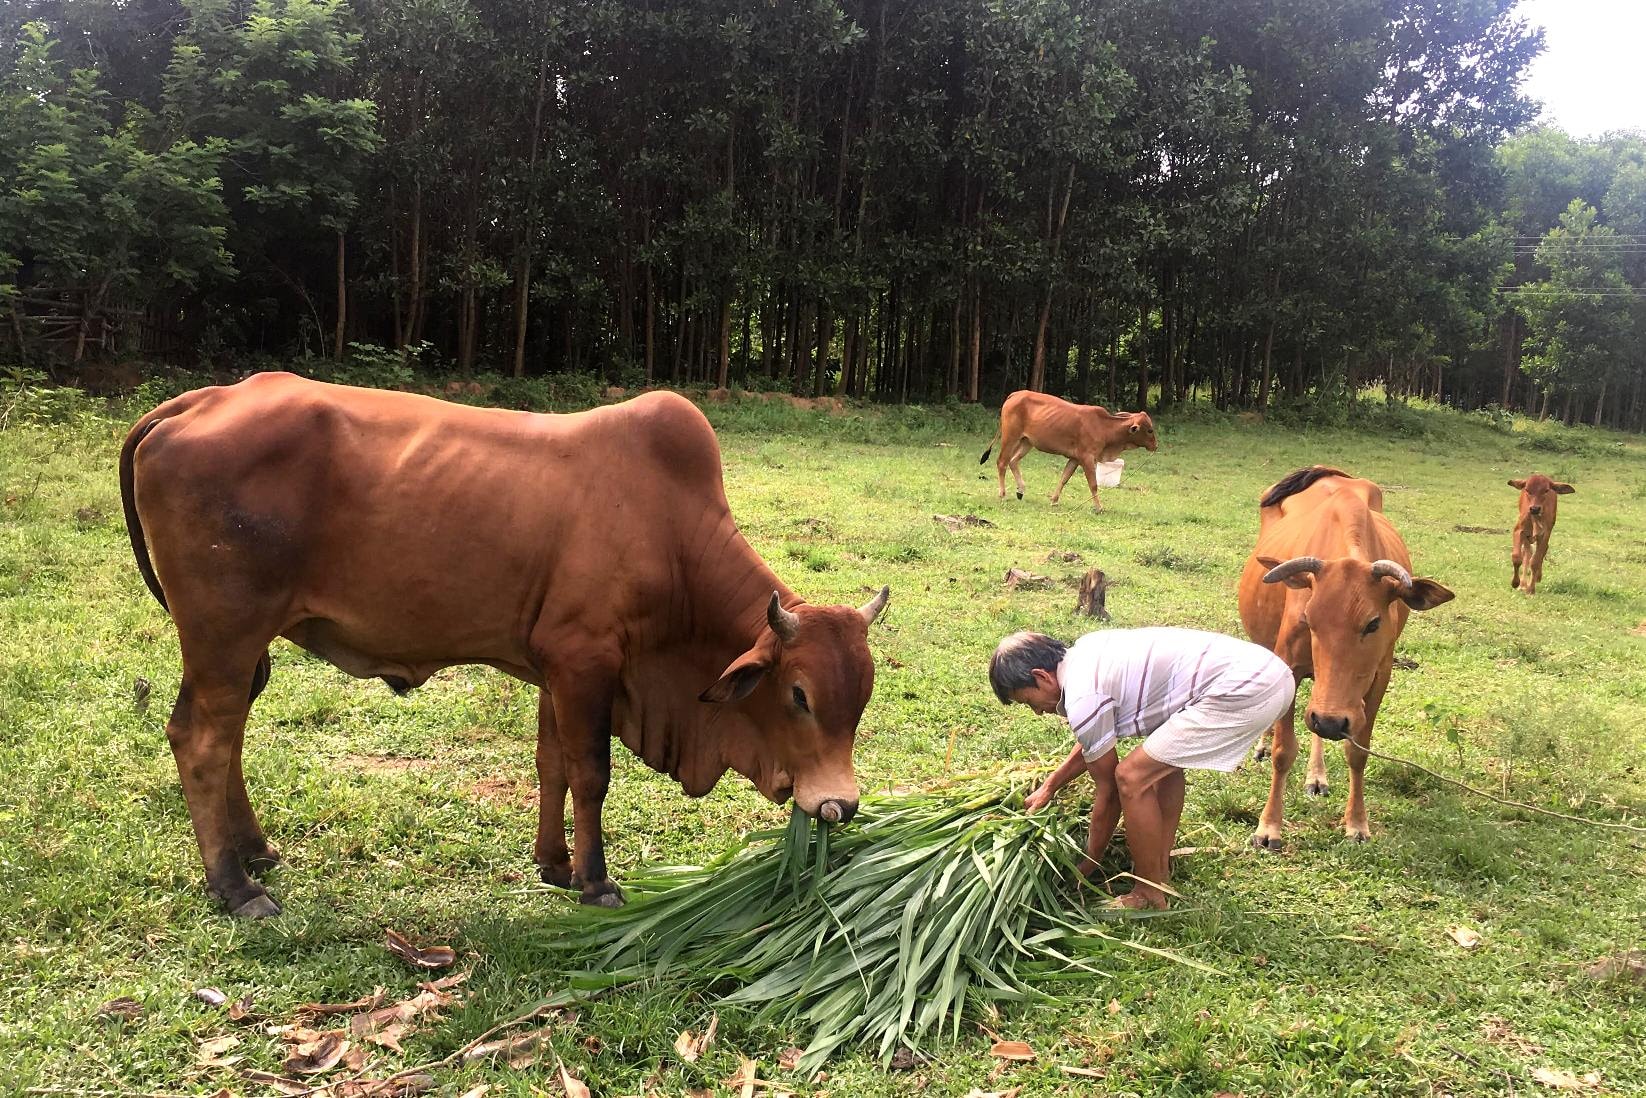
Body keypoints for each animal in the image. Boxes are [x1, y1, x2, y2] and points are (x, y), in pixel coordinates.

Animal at [119, 378, 888, 921]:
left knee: (225, 735)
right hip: (226, 632)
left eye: (863, 701)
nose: (841, 805)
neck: (671, 539)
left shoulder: (555, 667)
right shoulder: (587, 662)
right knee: (202, 740)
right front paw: (596, 881)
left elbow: (552, 765)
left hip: (236, 646)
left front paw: (554, 864)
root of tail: (199, 400)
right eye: (799, 696)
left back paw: (254, 851)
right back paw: (234, 885)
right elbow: (591, 775)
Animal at [974, 393, 1158, 513]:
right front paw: (1099, 507)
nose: (1156, 446)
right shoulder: (1087, 458)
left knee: (1013, 461)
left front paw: (1054, 501)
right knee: (1002, 462)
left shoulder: (1075, 459)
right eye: (1149, 430)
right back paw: (1003, 494)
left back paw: (1021, 490)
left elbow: (1064, 479)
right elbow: (1093, 484)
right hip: (1010, 437)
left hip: (1027, 442)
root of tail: (1015, 394)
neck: (1104, 427)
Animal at [1237, 464, 1455, 849]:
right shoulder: (1290, 665)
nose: (1330, 721)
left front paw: (1356, 823)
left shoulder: (1378, 677)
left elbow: (1358, 751)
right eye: (1309, 618)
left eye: (1373, 622)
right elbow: (1283, 751)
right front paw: (1269, 827)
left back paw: (1317, 775)